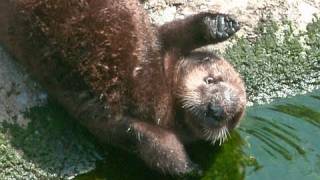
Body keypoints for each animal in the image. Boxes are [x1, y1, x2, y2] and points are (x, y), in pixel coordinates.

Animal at [0, 0, 246, 175]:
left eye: (231, 115)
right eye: (211, 80)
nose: (215, 109)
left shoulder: (124, 123)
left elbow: (151, 142)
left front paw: (192, 168)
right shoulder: (162, 46)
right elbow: (175, 31)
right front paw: (222, 25)